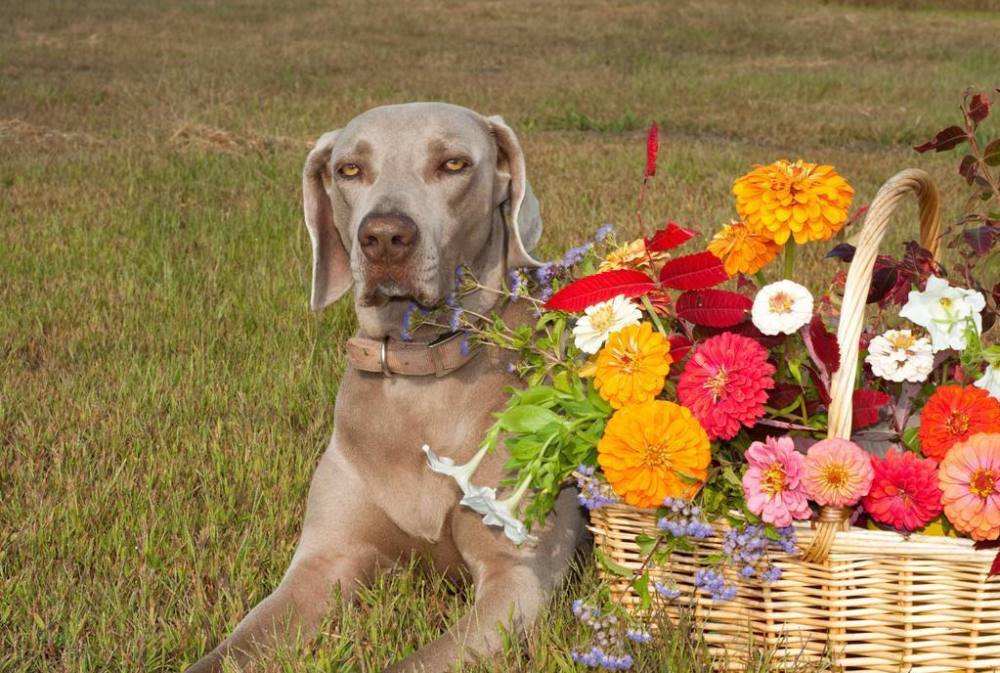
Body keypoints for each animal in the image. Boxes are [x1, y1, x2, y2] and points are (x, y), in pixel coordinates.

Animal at [188, 101, 584, 672]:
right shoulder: (322, 562)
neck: (419, 374)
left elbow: (415, 662)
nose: (383, 237)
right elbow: (228, 650)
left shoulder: (516, 579)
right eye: (348, 169)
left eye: (454, 163)